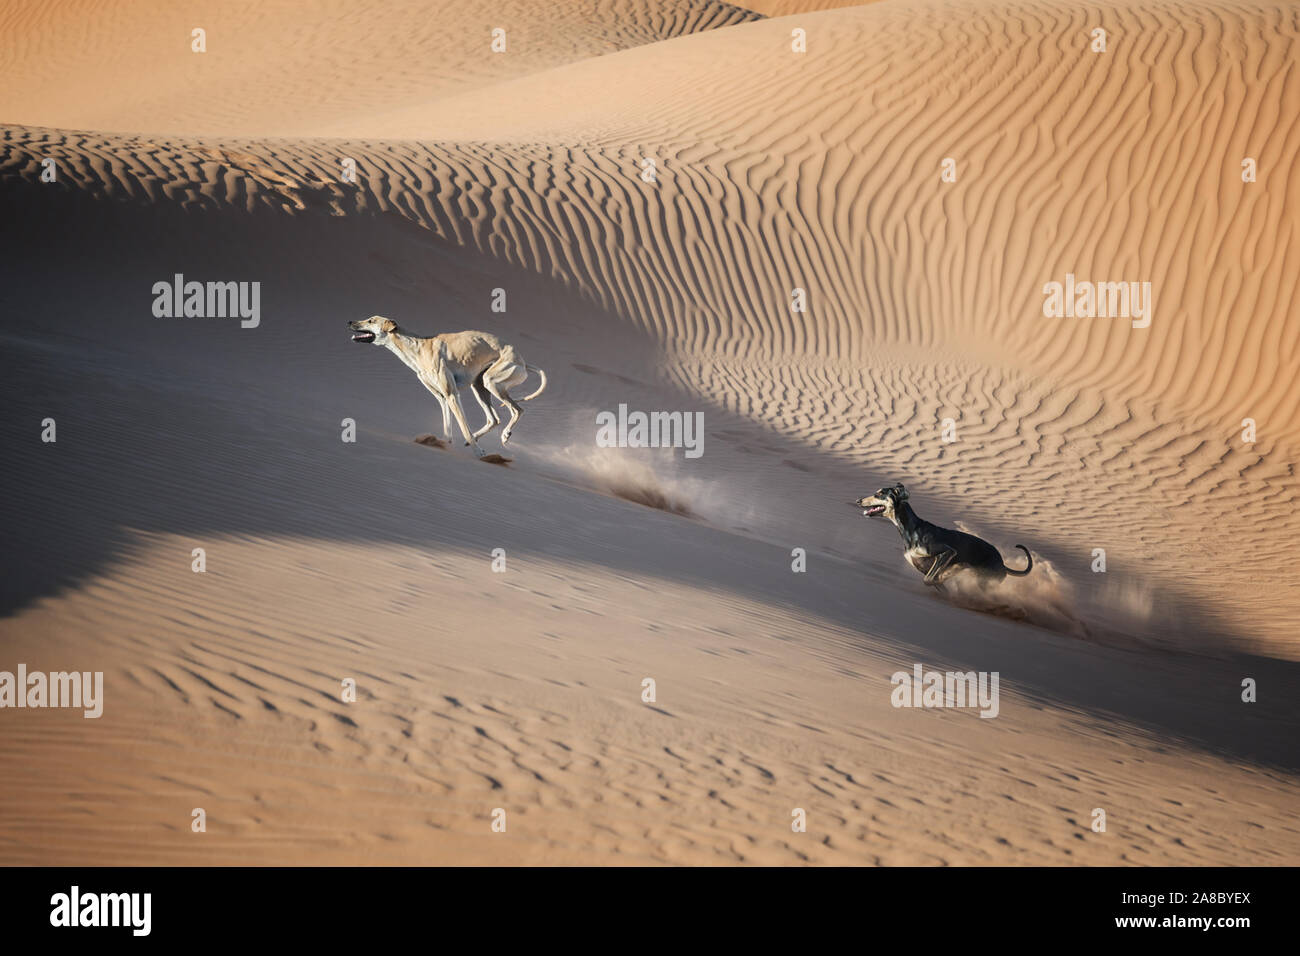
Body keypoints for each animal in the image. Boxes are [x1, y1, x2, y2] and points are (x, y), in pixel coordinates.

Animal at [348, 316, 546, 457]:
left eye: (371, 320)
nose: (350, 322)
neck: (417, 347)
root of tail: (522, 361)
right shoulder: (442, 397)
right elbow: (447, 425)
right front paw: (443, 443)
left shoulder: (452, 395)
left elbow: (464, 427)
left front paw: (478, 452)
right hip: (480, 386)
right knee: (494, 419)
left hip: (492, 381)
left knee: (517, 410)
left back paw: (504, 435)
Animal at [847, 486, 1029, 590]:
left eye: (879, 494)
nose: (858, 500)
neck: (912, 529)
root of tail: (1003, 564)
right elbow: (935, 580)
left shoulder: (947, 553)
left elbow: (929, 579)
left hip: (985, 582)